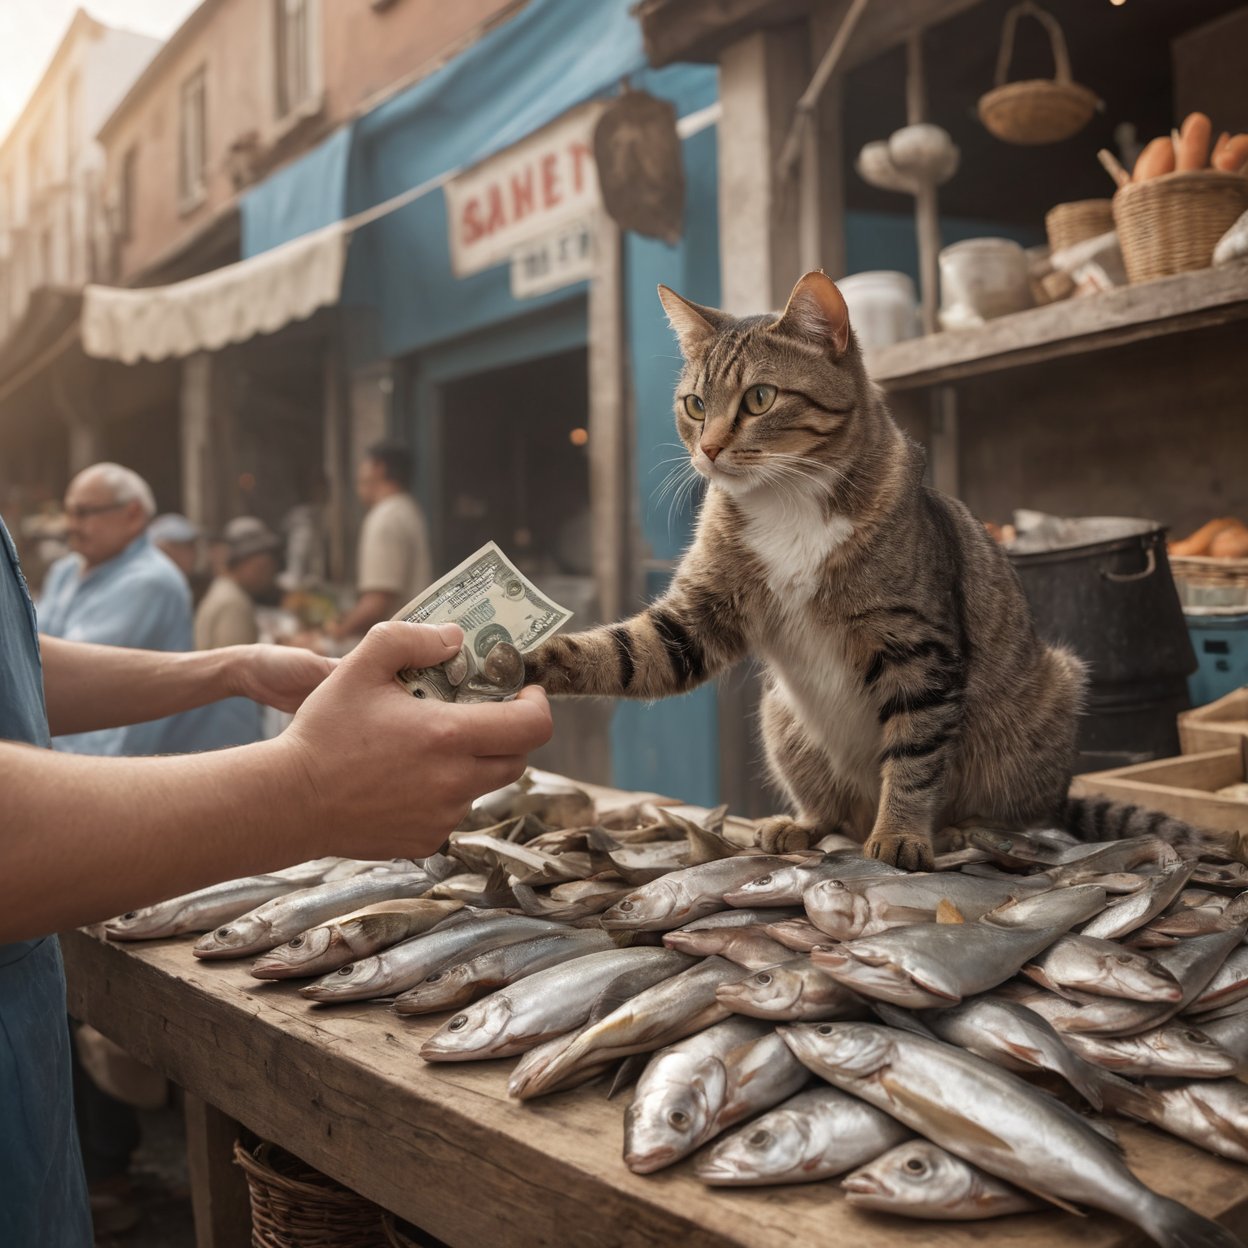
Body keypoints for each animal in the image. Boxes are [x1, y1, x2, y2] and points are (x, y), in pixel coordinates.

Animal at [519, 270, 1178, 878]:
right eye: (695, 405)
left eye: (760, 398)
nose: (707, 449)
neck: (787, 502)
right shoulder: (699, 617)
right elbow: (628, 652)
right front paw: (521, 662)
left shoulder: (918, 646)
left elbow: (915, 752)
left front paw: (901, 834)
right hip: (781, 716)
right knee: (834, 811)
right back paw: (802, 825)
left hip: (1052, 695)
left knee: (1024, 812)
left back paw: (963, 829)